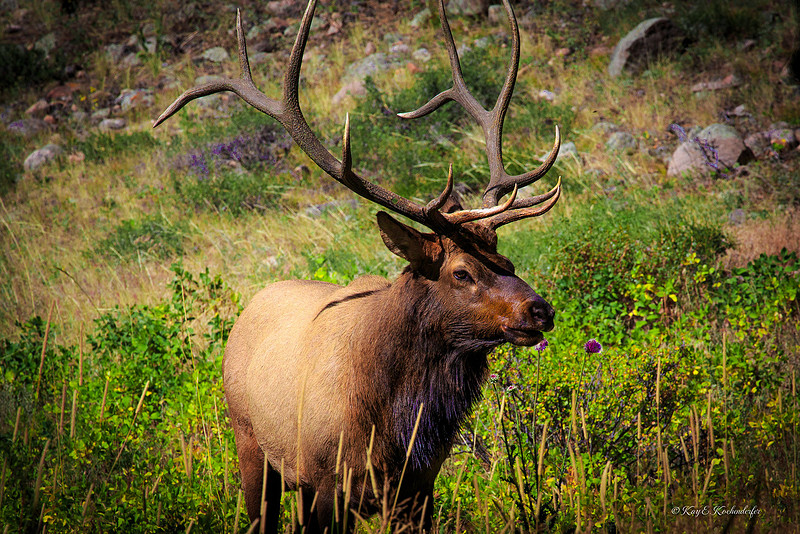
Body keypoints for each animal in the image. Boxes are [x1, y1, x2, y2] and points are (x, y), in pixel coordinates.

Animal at [154, 0, 562, 531]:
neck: (389, 428)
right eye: (462, 273)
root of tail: (250, 307)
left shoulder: (418, 487)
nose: (541, 311)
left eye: (507, 260)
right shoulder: (329, 482)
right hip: (252, 444)